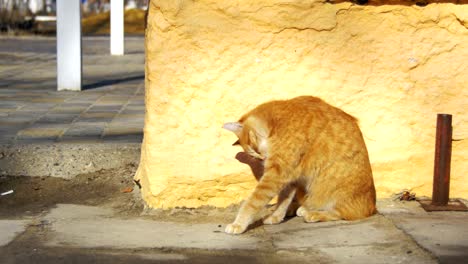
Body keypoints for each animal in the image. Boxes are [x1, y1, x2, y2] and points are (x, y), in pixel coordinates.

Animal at [222, 96, 376, 234]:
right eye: (254, 156)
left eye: (254, 150)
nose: (263, 159)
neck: (277, 122)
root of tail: (372, 207)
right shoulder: (287, 174)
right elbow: (283, 200)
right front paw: (276, 216)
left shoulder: (276, 174)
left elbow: (252, 202)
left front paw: (238, 224)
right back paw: (300, 208)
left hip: (335, 192)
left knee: (343, 213)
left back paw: (313, 213)